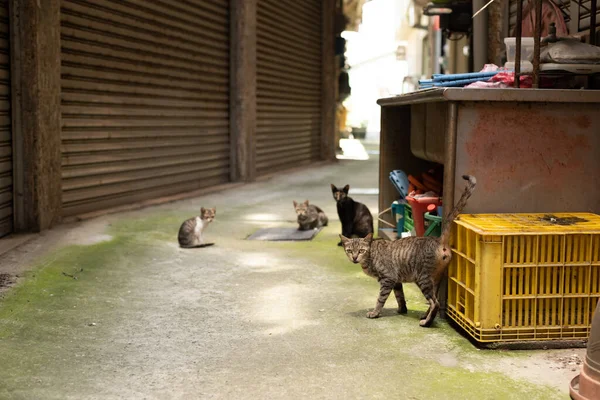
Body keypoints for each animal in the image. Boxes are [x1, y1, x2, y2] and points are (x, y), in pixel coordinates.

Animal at [340, 175, 476, 328]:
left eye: (361, 250)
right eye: (349, 250)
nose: (354, 258)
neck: (371, 255)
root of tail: (438, 239)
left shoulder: (388, 279)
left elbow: (380, 299)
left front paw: (375, 313)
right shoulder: (396, 281)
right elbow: (400, 296)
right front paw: (402, 309)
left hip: (423, 279)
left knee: (434, 302)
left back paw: (426, 322)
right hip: (435, 279)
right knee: (434, 300)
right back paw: (426, 315)